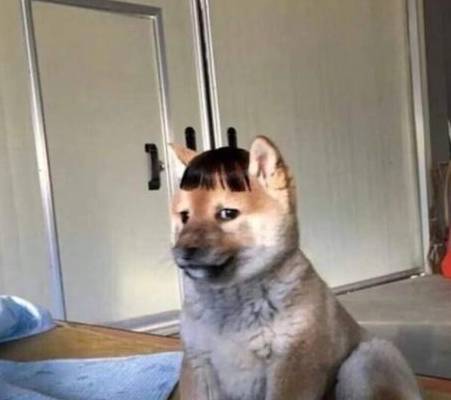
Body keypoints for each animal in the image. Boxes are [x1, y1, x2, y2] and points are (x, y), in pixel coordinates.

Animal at [170, 136, 422, 400]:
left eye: (227, 213)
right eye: (184, 216)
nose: (183, 251)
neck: (232, 303)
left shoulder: (291, 365)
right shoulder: (199, 365)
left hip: (365, 360)